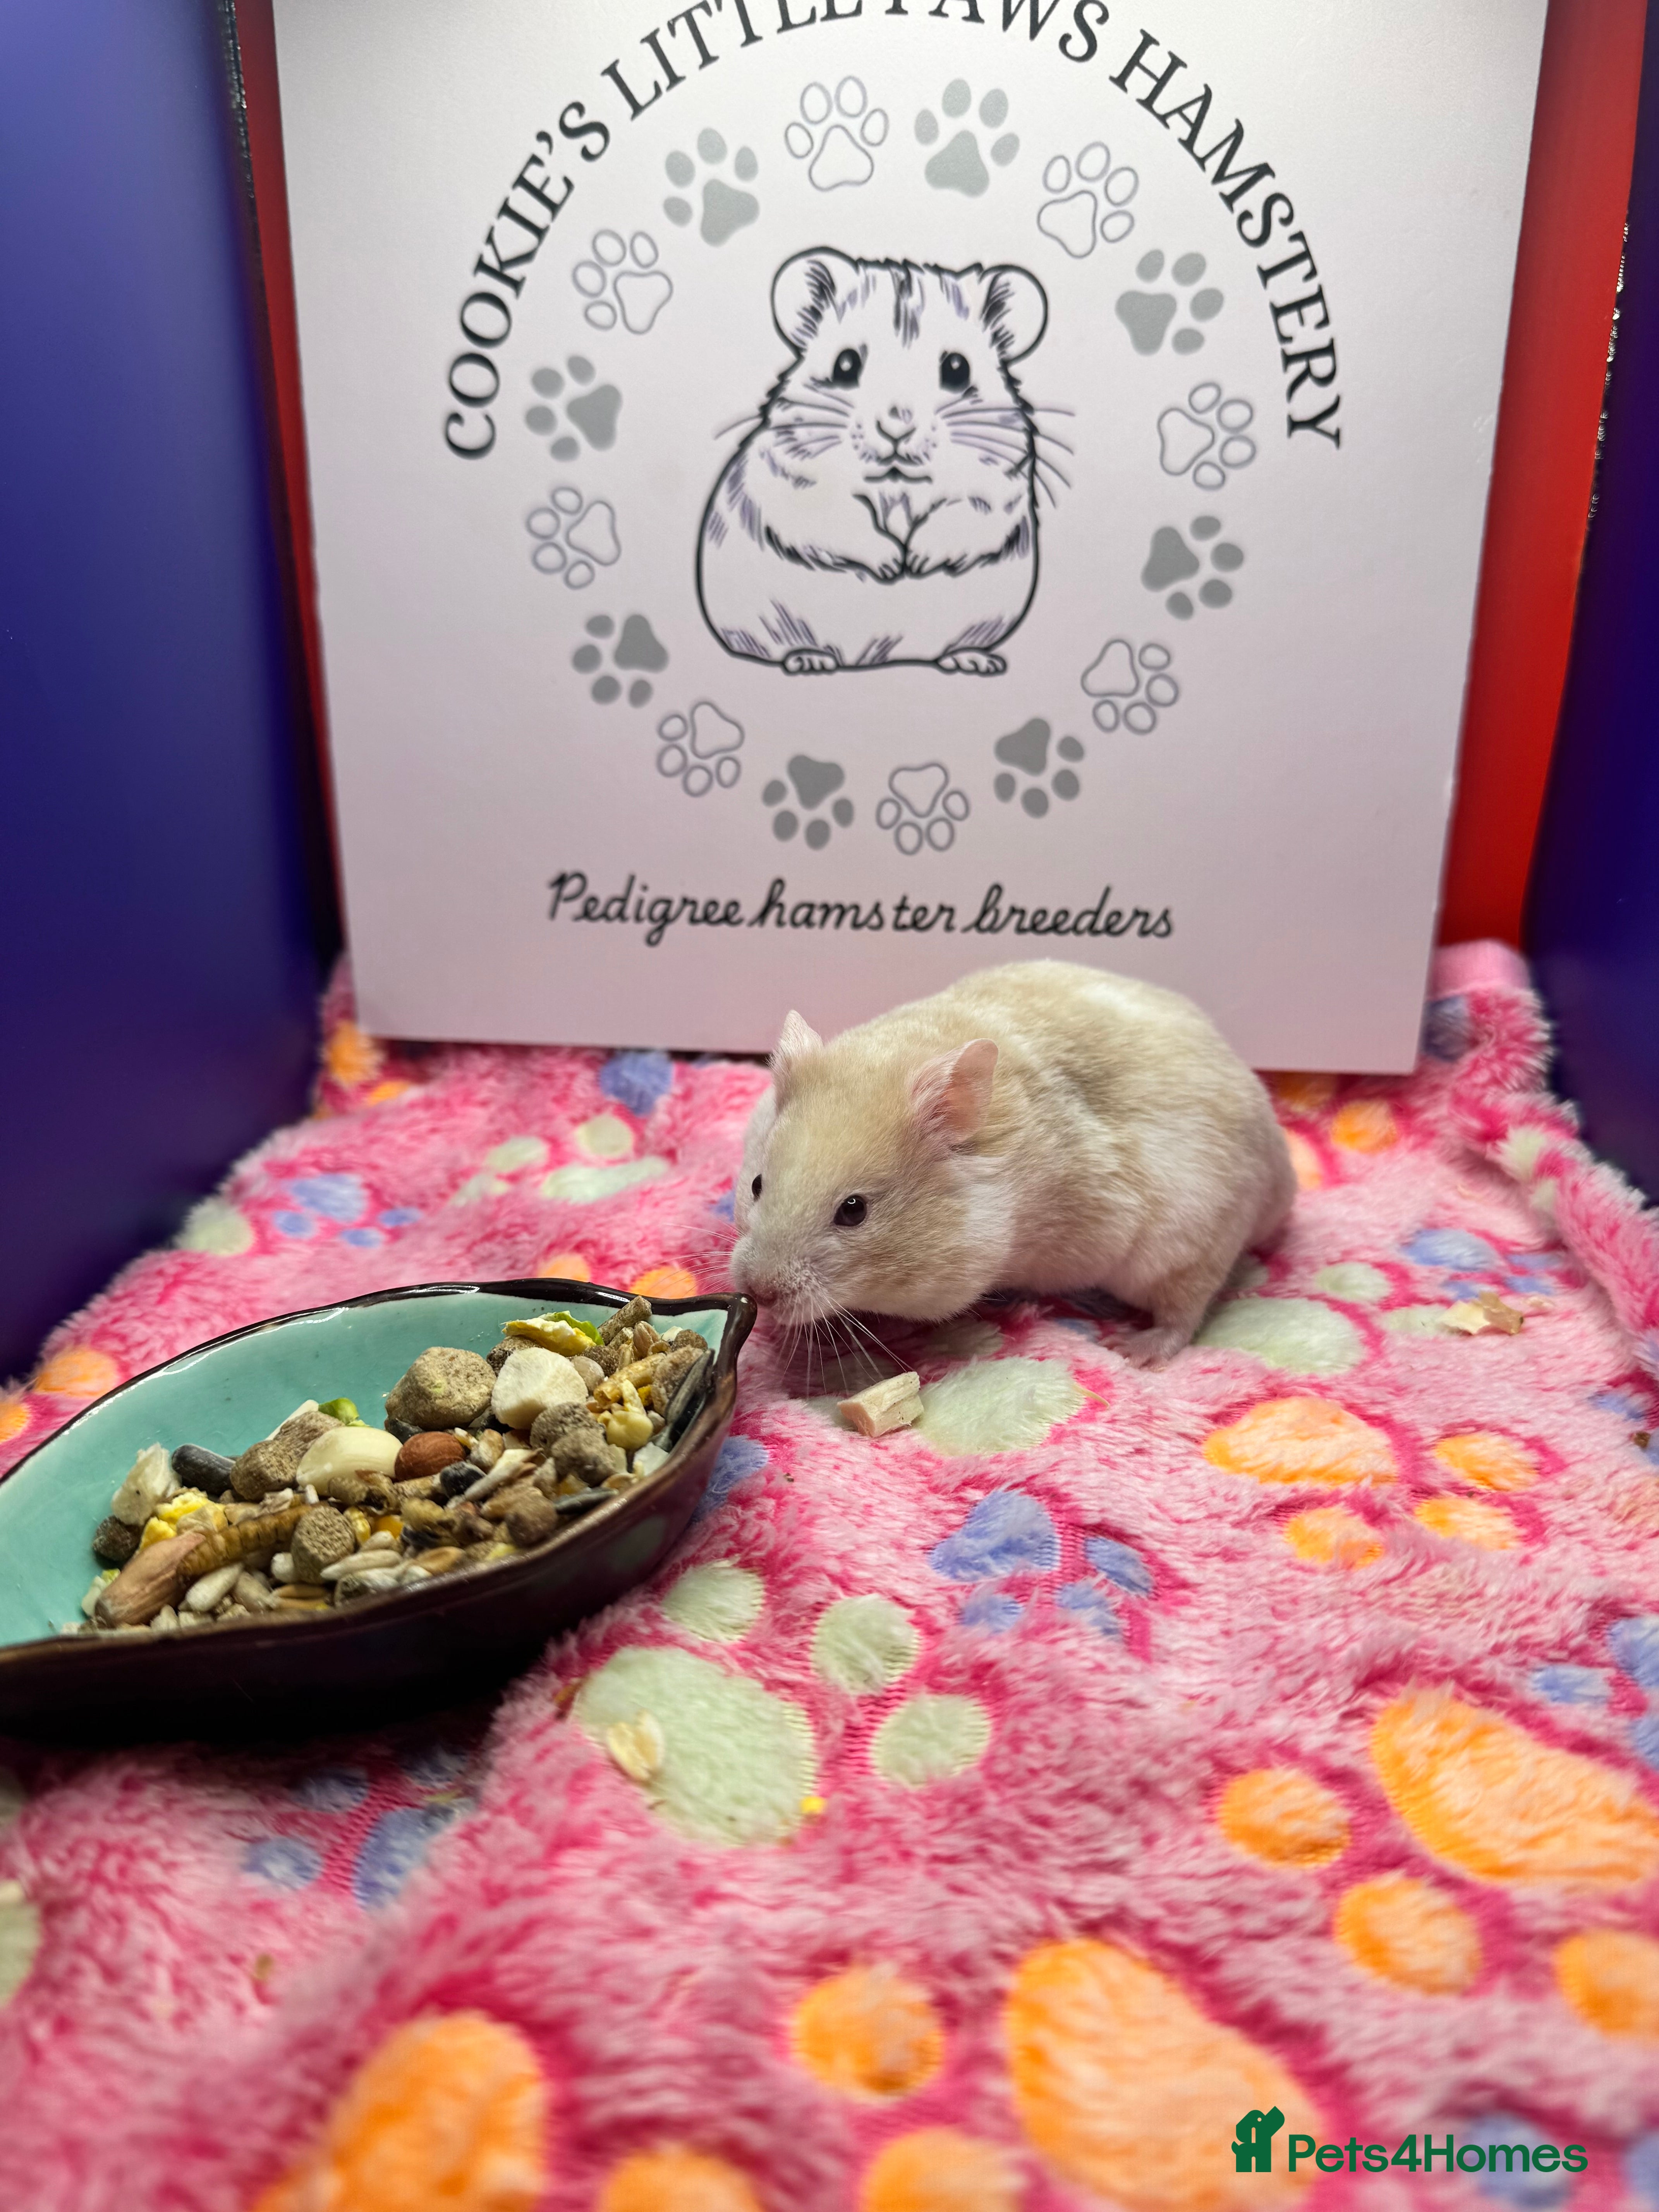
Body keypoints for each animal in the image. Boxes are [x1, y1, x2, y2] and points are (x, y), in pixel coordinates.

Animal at [697, 250, 1048, 676]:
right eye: (845, 365)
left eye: (957, 368)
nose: (897, 427)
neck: (896, 482)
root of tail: (868, 660)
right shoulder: (793, 480)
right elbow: (840, 518)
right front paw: (892, 565)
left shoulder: (1001, 485)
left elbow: (965, 514)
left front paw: (916, 562)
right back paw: (810, 659)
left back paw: (975, 660)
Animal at [729, 961, 1296, 1364]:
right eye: (757, 1184)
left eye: (854, 1211)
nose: (758, 1291)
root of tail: (1283, 1177)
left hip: (1189, 1240)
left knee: (1186, 1311)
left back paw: (1131, 1351)